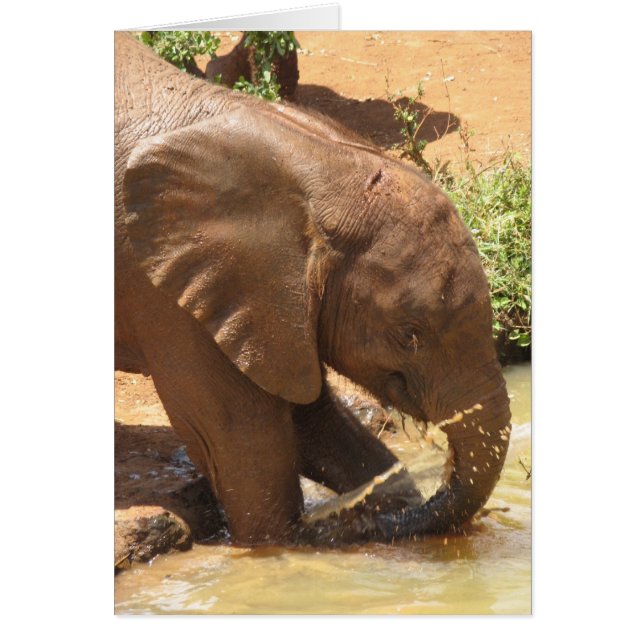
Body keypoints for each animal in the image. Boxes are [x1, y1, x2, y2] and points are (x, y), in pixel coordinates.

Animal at [114, 32, 512, 546]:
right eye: (409, 336)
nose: (370, 525)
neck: (318, 159)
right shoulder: (173, 295)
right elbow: (242, 444)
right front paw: (301, 544)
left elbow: (309, 416)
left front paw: (382, 505)